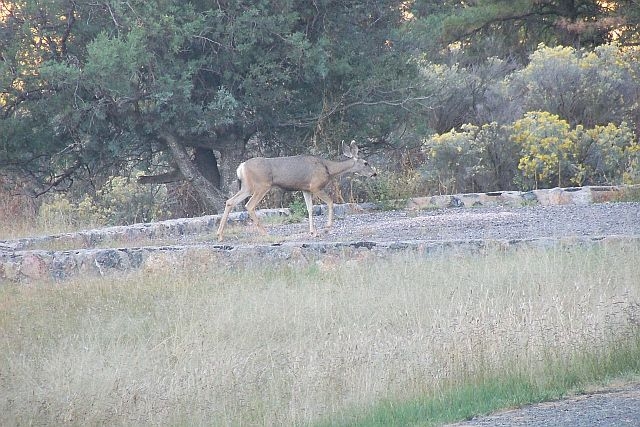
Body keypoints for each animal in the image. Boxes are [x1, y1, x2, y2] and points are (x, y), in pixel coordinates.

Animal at [216, 140, 376, 241]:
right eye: (365, 163)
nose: (374, 174)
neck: (328, 169)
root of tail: (241, 167)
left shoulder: (306, 189)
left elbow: (310, 209)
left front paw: (313, 232)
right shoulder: (316, 186)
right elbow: (330, 202)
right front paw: (326, 228)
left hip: (247, 186)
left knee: (230, 201)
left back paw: (220, 235)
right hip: (262, 185)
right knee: (249, 205)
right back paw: (265, 233)